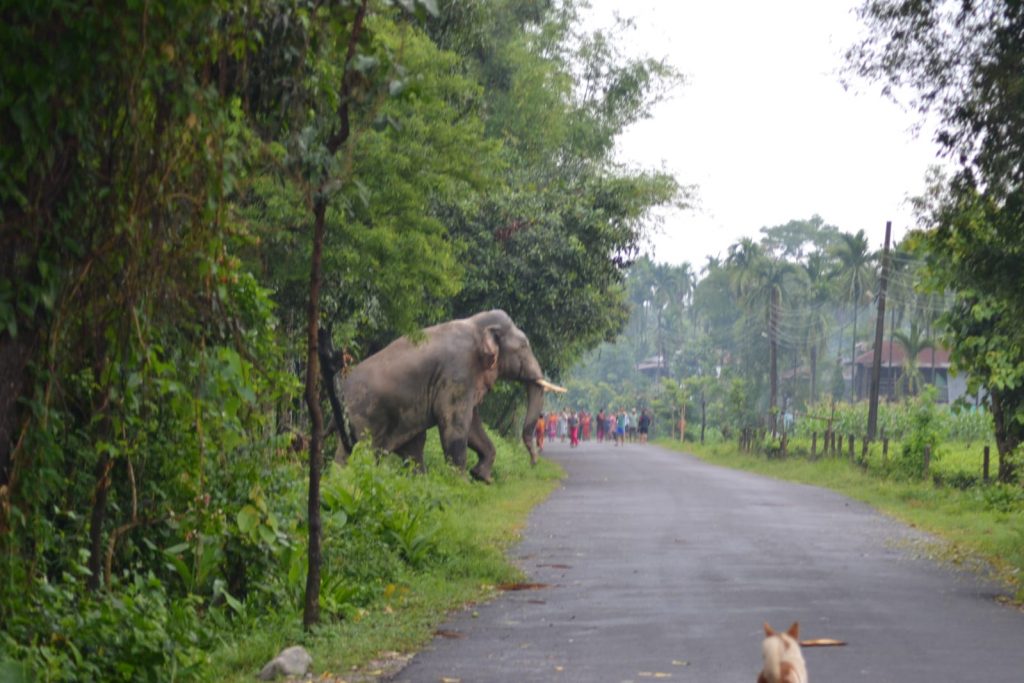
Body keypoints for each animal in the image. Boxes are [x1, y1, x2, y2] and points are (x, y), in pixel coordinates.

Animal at [325, 309, 565, 481]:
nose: (533, 462)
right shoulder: (457, 372)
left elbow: (473, 426)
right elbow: (455, 425)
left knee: (411, 449)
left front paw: (482, 478)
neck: (475, 323)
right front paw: (462, 483)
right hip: (363, 417)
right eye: (524, 346)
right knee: (361, 452)